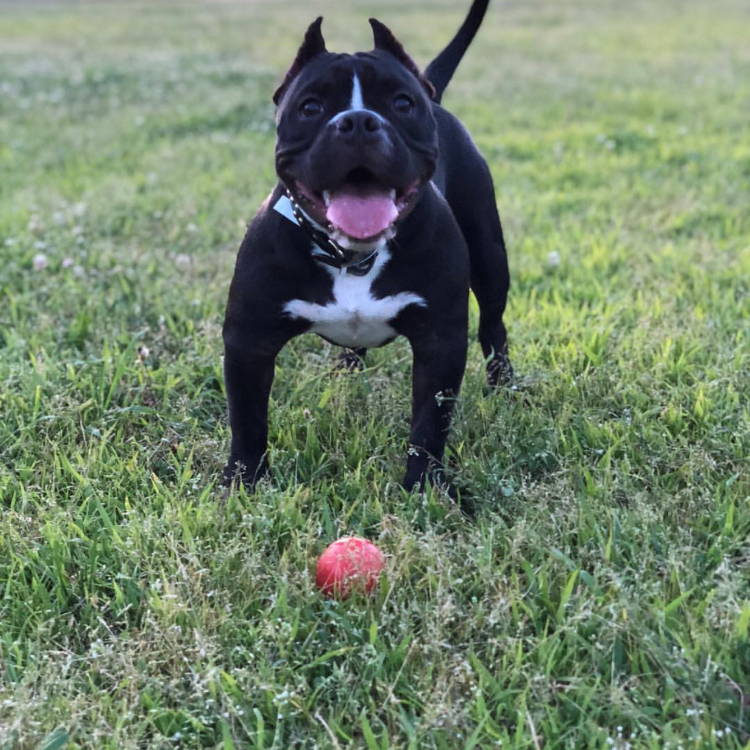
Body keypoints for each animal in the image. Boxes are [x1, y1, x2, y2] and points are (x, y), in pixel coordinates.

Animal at [223, 0, 516, 494]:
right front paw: (241, 484)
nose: (358, 122)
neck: (352, 258)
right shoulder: (249, 342)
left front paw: (424, 487)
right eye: (310, 107)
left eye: (402, 103)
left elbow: (429, 424)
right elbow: (247, 421)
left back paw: (505, 387)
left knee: (494, 327)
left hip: (491, 258)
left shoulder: (440, 342)